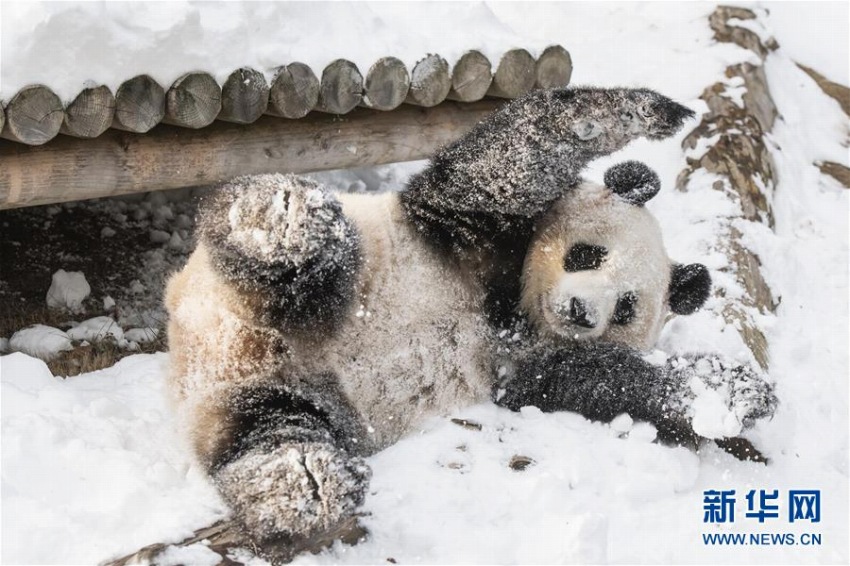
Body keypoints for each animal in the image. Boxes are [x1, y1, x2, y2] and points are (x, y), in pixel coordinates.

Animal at [164, 87, 776, 564]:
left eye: (625, 307)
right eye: (586, 255)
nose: (581, 312)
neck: (510, 308)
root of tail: (216, 343)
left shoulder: (527, 368)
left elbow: (602, 380)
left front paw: (732, 395)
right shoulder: (464, 232)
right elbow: (506, 162)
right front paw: (653, 111)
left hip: (283, 399)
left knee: (268, 431)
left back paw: (307, 483)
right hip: (303, 271)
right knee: (293, 244)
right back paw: (284, 222)